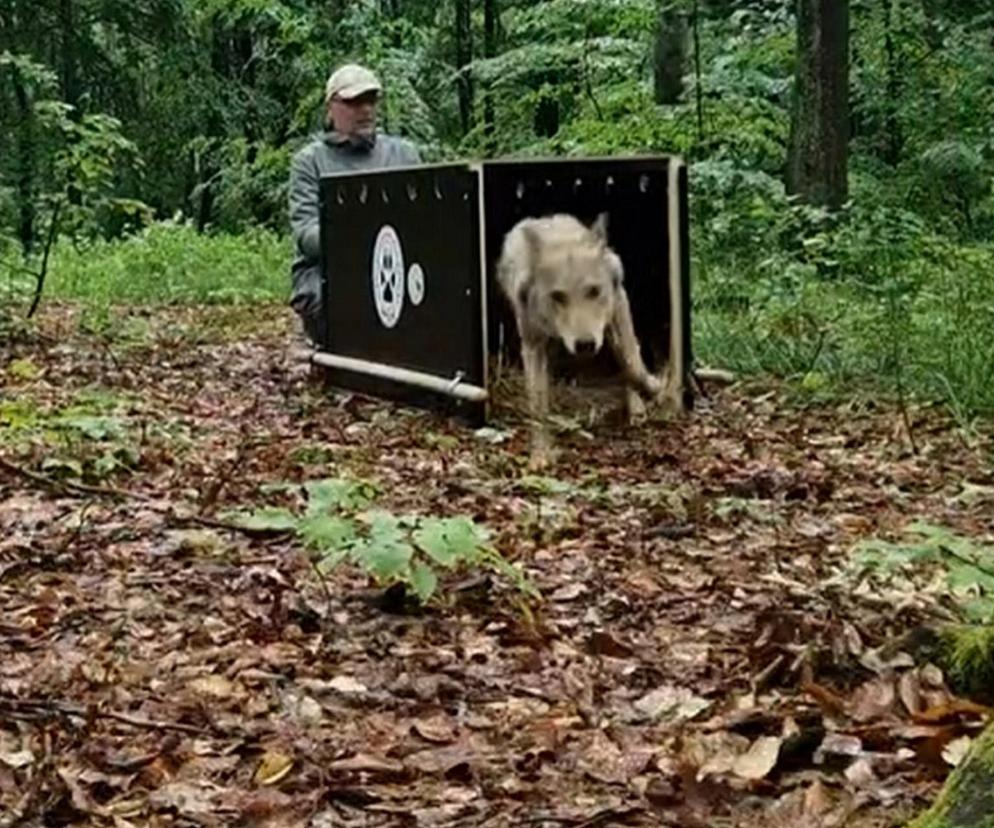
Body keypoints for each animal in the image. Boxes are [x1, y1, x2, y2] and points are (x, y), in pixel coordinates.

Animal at [494, 210, 664, 468]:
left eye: (594, 291)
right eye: (557, 296)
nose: (585, 345)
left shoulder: (618, 304)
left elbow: (632, 363)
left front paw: (653, 388)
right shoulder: (533, 344)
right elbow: (537, 404)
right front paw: (540, 454)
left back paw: (637, 407)